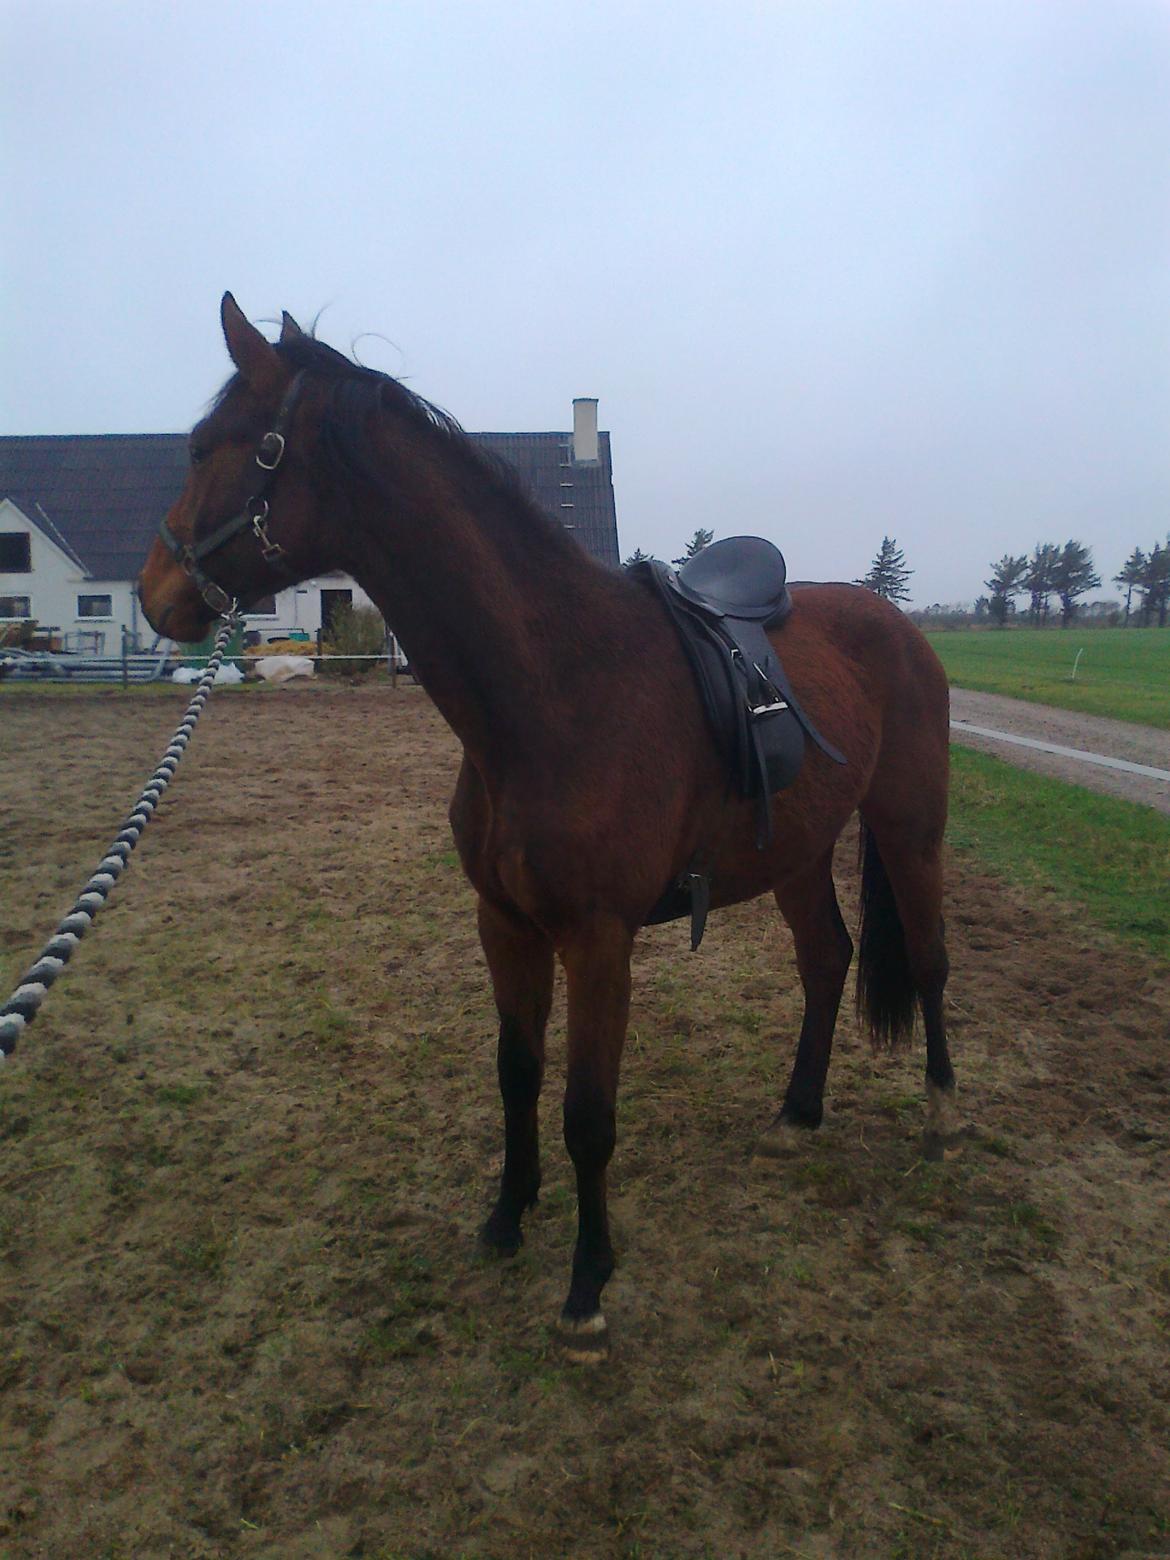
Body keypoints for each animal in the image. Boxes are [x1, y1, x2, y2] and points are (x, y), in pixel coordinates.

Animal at [139, 294, 960, 1366]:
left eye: (211, 447)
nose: (154, 591)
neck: (555, 690)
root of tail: (897, 623)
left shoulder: (598, 941)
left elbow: (587, 1115)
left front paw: (586, 1288)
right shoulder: (506, 925)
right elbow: (516, 1072)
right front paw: (505, 1219)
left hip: (909, 825)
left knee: (931, 962)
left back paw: (940, 1120)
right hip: (796, 850)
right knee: (827, 960)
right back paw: (797, 1112)